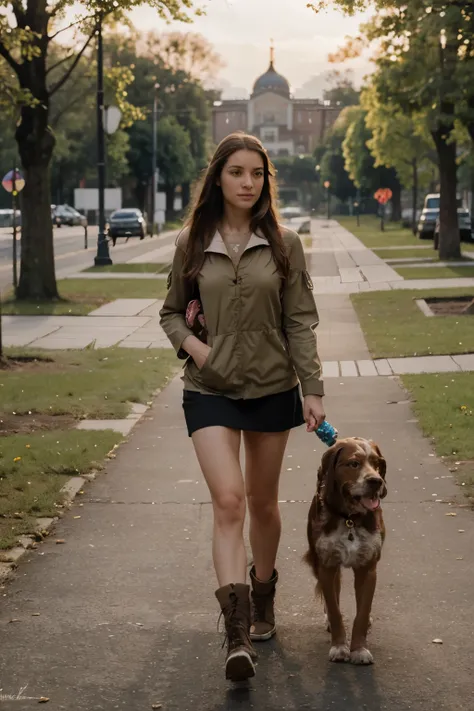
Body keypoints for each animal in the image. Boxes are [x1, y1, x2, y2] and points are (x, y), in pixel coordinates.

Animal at [306, 436, 386, 664]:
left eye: (377, 463)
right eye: (353, 463)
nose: (376, 481)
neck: (350, 518)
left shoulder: (368, 568)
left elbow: (362, 612)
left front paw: (358, 649)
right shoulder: (327, 565)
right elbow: (334, 610)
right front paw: (339, 646)